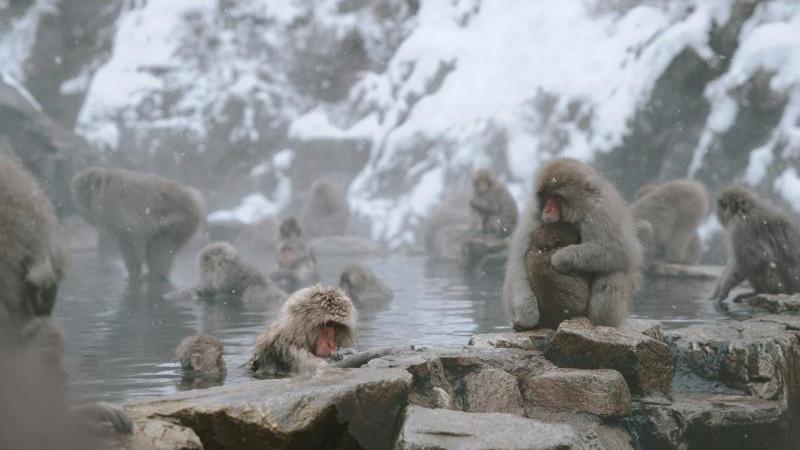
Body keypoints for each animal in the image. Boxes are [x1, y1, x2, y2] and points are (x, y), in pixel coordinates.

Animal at [70, 167, 203, 283]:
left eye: (83, 188)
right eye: (77, 190)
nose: (79, 198)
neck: (103, 188)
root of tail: (195, 202)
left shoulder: (112, 203)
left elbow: (130, 234)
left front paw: (133, 273)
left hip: (180, 222)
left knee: (161, 243)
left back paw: (156, 274)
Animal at [503, 158, 643, 330]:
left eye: (556, 196)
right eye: (545, 196)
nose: (547, 210)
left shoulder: (603, 212)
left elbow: (620, 252)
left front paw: (562, 257)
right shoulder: (532, 216)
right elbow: (517, 263)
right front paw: (527, 314)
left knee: (613, 272)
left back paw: (600, 323)